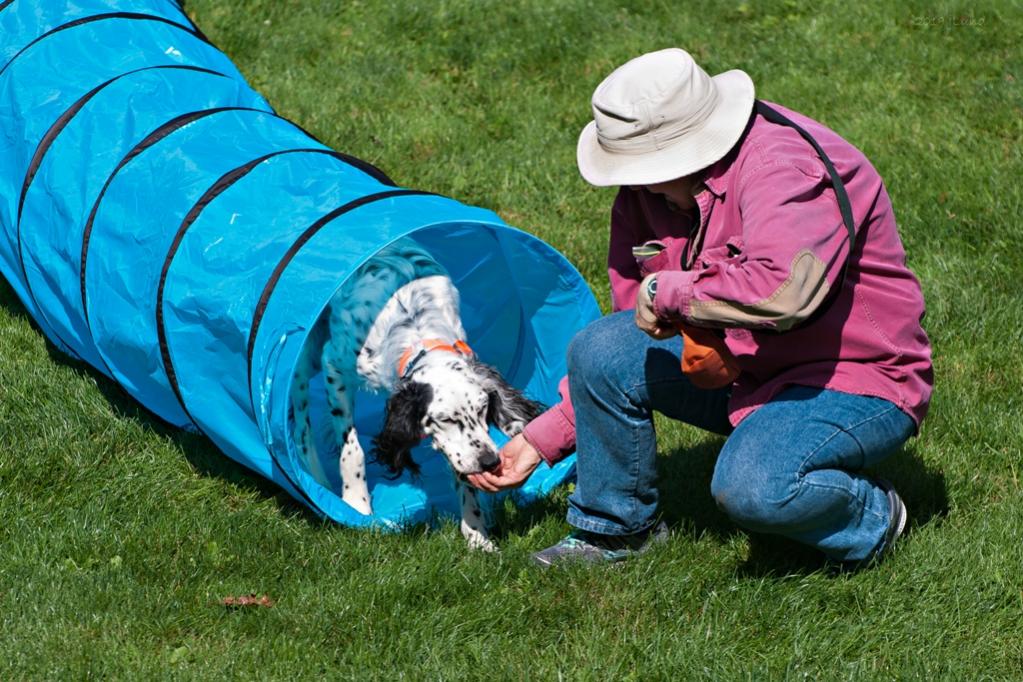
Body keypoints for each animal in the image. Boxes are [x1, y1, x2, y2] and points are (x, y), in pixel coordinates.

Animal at [288, 239, 544, 548]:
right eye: (446, 419)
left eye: (483, 410)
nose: (490, 462)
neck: (416, 332)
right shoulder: (334, 367)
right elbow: (352, 448)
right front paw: (356, 505)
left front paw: (476, 535)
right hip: (307, 358)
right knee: (301, 424)